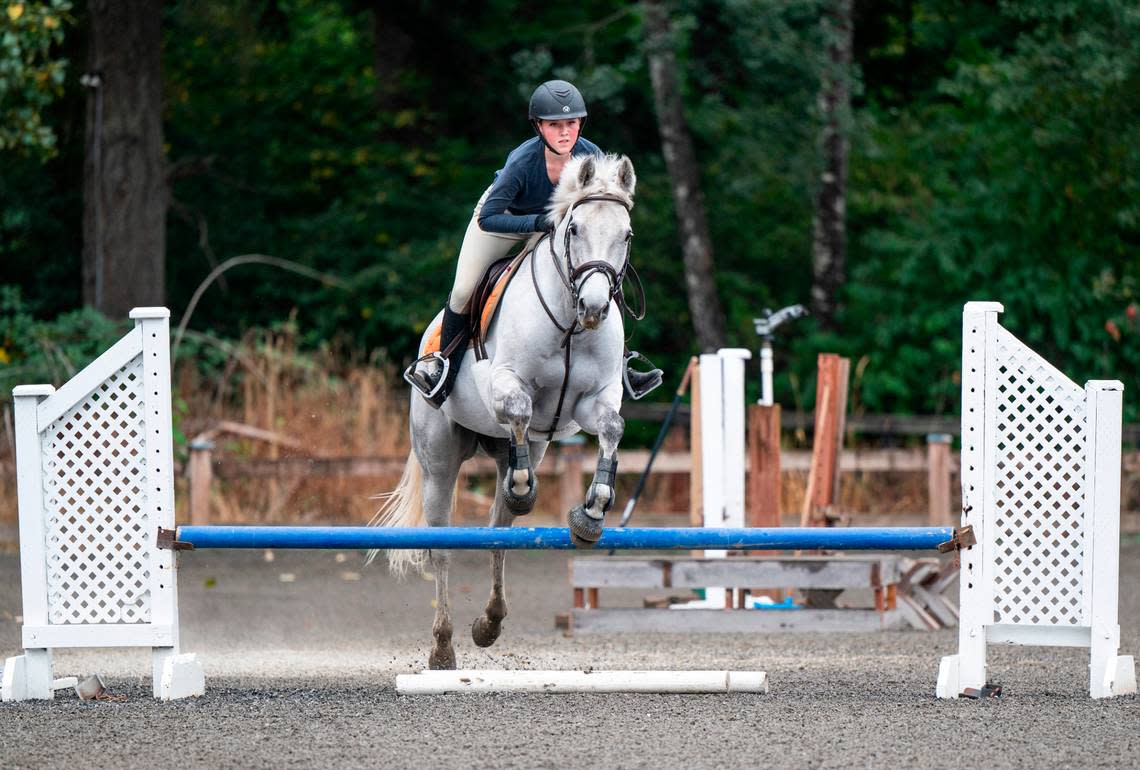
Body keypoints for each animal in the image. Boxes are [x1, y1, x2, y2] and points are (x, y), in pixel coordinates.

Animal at [373, 154, 642, 670]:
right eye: (573, 228)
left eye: (626, 234)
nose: (595, 307)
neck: (570, 323)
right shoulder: (505, 385)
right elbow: (518, 407)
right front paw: (526, 492)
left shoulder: (592, 400)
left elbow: (612, 427)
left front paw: (592, 511)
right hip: (439, 461)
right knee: (443, 547)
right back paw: (443, 648)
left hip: (525, 450)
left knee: (498, 533)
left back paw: (489, 624)